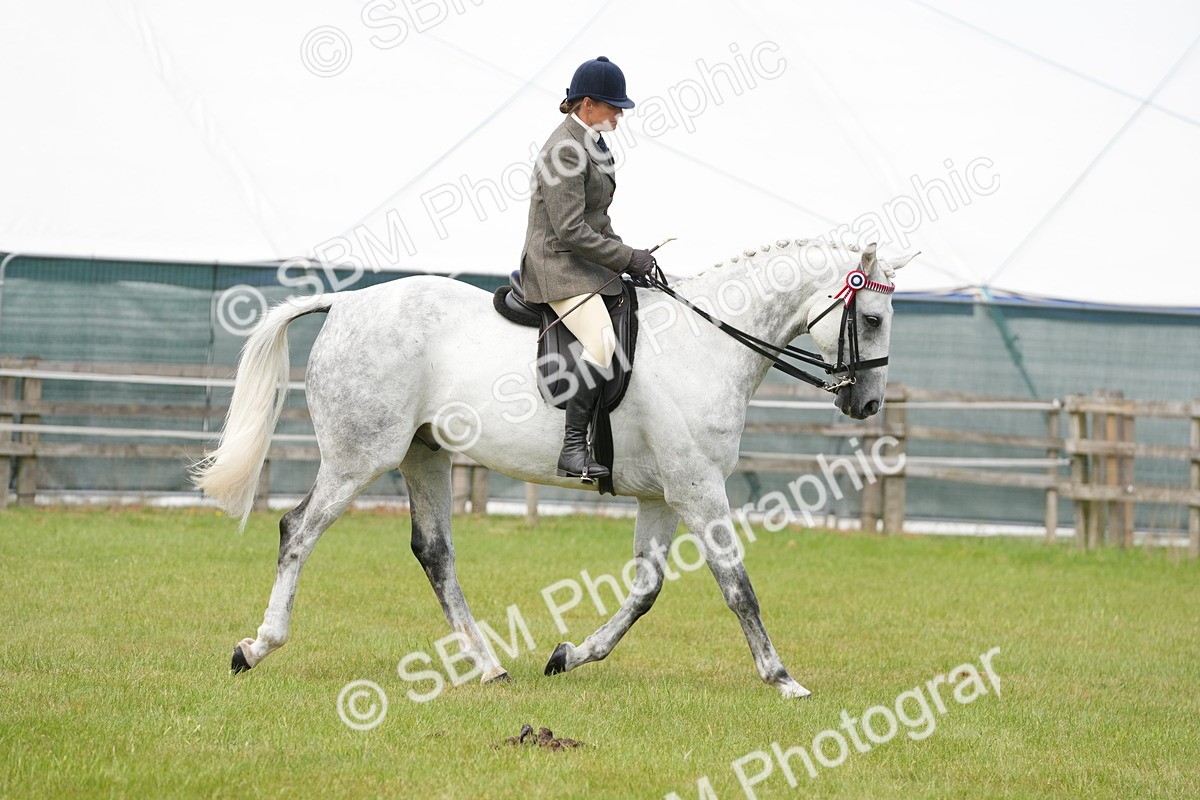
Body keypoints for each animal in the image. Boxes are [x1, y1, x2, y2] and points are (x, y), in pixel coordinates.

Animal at [192, 238, 912, 699]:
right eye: (874, 317)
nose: (868, 404)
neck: (705, 343)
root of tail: (345, 305)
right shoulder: (699, 487)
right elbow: (737, 585)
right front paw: (782, 678)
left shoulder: (662, 496)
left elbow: (645, 591)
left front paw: (569, 656)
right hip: (359, 456)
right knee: (299, 531)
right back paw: (254, 647)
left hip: (423, 454)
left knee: (434, 552)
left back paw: (489, 667)